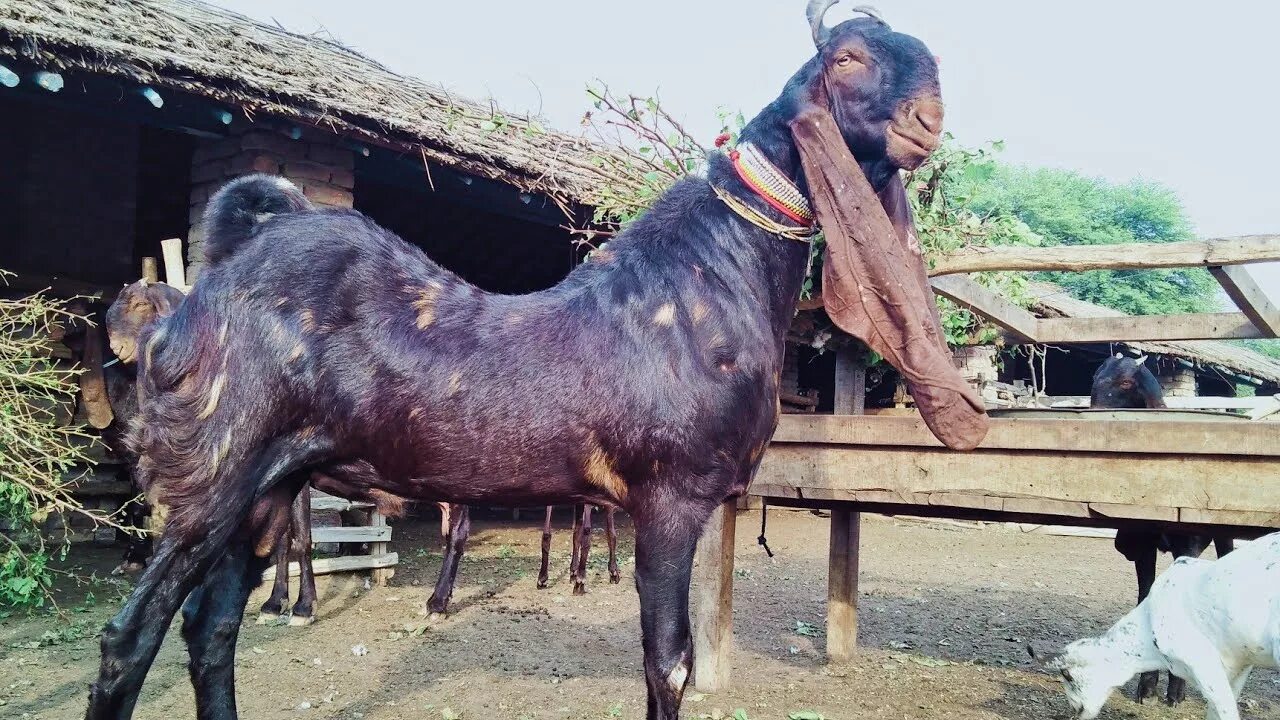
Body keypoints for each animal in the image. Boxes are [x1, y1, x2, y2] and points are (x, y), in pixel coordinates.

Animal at [85, 2, 972, 712]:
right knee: (131, 637)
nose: (928, 121)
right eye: (847, 58)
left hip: (266, 489)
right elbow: (668, 665)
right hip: (210, 477)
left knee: (211, 630)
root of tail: (217, 280)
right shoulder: (671, 496)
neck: (712, 277)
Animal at [1095, 353, 1233, 702]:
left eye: (1126, 383)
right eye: (1093, 379)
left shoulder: (1189, 543)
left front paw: (1176, 688)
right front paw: (1147, 685)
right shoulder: (1144, 545)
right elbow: (1146, 596)